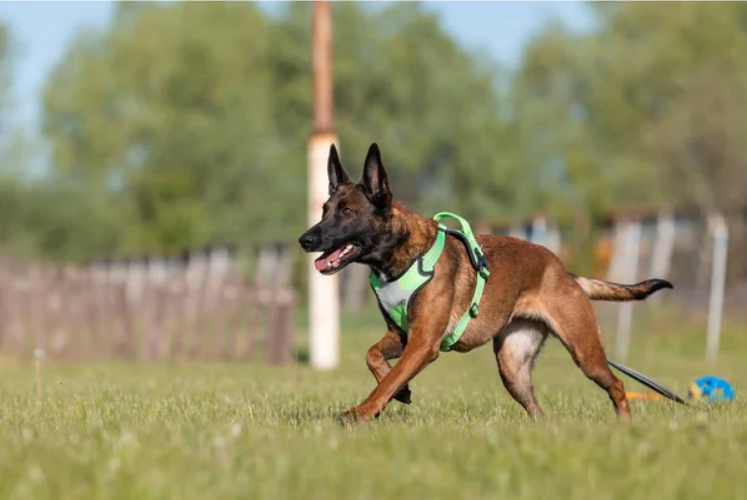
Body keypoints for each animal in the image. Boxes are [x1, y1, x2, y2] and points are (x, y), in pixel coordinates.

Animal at [300, 144, 676, 422]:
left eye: (347, 212)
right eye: (324, 209)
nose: (306, 239)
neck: (401, 255)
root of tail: (564, 272)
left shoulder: (422, 343)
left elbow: (388, 380)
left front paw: (361, 412)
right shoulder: (402, 335)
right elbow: (373, 357)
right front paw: (401, 392)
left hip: (585, 352)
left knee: (617, 384)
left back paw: (625, 425)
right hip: (513, 369)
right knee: (538, 411)